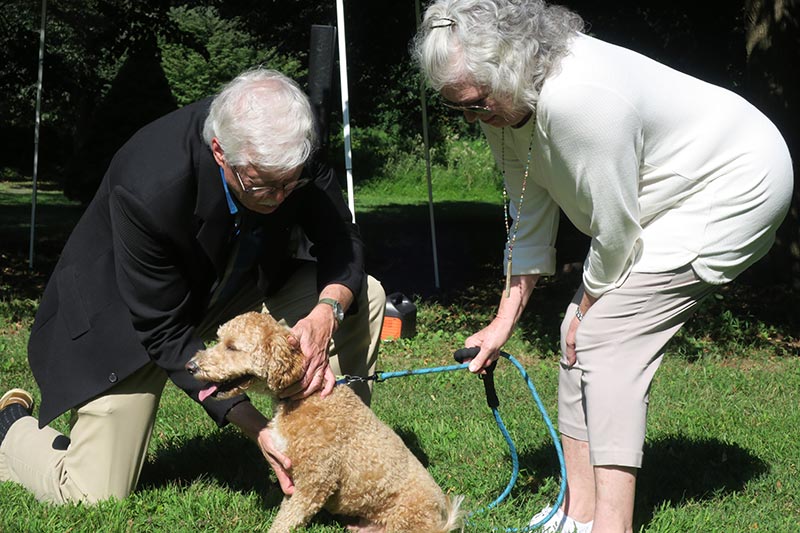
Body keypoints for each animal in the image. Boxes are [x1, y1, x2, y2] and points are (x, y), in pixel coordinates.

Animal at [187, 310, 462, 532]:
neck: (305, 397)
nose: (190, 366)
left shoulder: (315, 481)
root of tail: (441, 521)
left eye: (232, 347)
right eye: (219, 339)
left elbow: (285, 521)